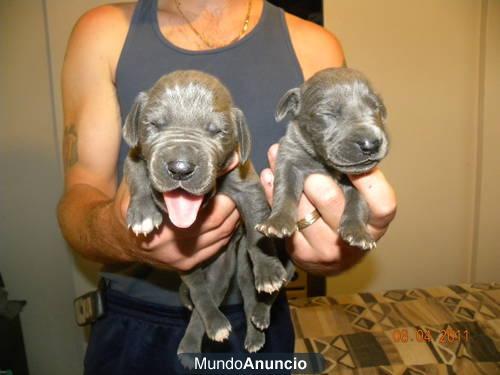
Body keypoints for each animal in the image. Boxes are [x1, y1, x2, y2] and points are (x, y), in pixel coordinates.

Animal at [121, 71, 290, 358]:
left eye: (217, 131)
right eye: (154, 124)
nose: (180, 168)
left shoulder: (247, 184)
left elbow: (258, 227)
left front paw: (268, 270)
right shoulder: (134, 155)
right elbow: (138, 176)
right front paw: (143, 213)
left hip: (233, 267)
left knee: (245, 295)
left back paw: (256, 326)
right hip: (192, 266)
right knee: (201, 295)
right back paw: (202, 333)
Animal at [258, 67, 390, 250]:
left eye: (376, 107)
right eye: (328, 113)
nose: (371, 144)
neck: (322, 163)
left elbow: (358, 201)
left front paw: (358, 232)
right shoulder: (288, 158)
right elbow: (285, 189)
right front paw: (277, 222)